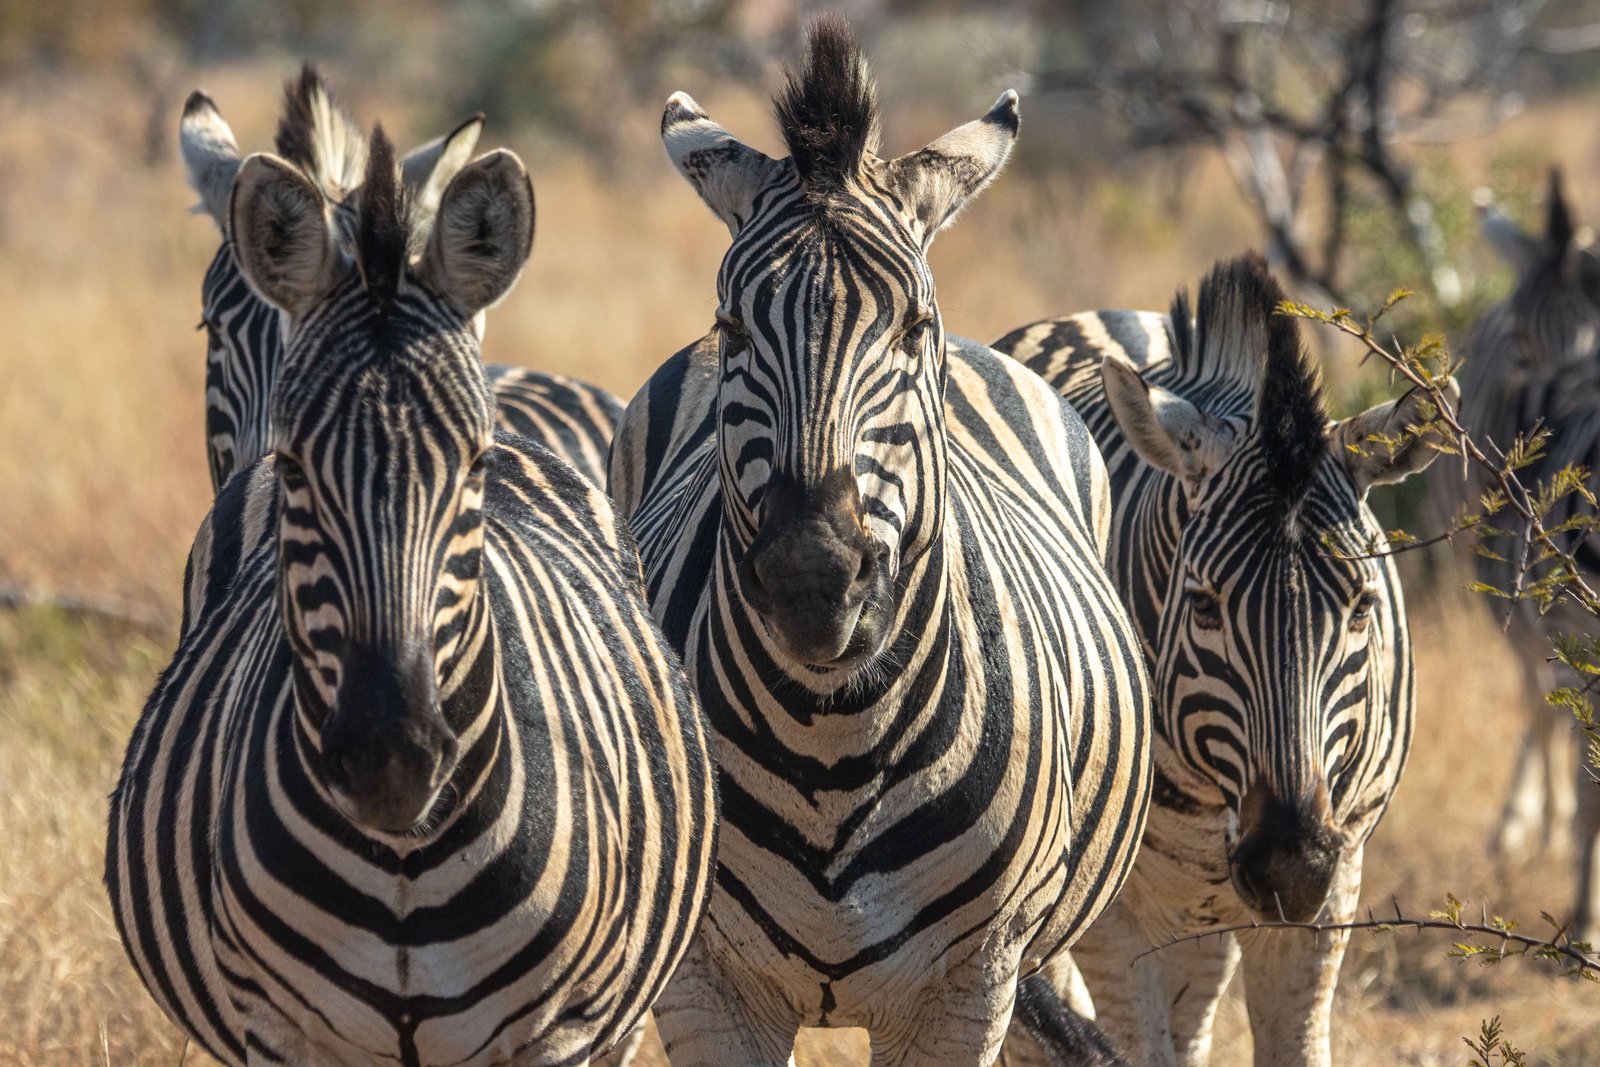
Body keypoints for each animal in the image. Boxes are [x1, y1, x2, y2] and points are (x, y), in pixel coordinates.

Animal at [106, 127, 717, 1066]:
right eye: (296, 468)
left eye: (475, 462)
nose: (389, 758)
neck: (405, 862)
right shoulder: (279, 1032)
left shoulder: (563, 1033)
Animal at [607, 18, 1152, 1065]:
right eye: (732, 327)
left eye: (912, 326)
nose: (813, 577)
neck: (830, 743)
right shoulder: (705, 982)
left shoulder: (969, 986)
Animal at [993, 254, 1450, 1067]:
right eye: (1205, 606)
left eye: (1362, 606)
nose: (1290, 866)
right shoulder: (1119, 919)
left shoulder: (1335, 881)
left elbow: (1294, 1043)